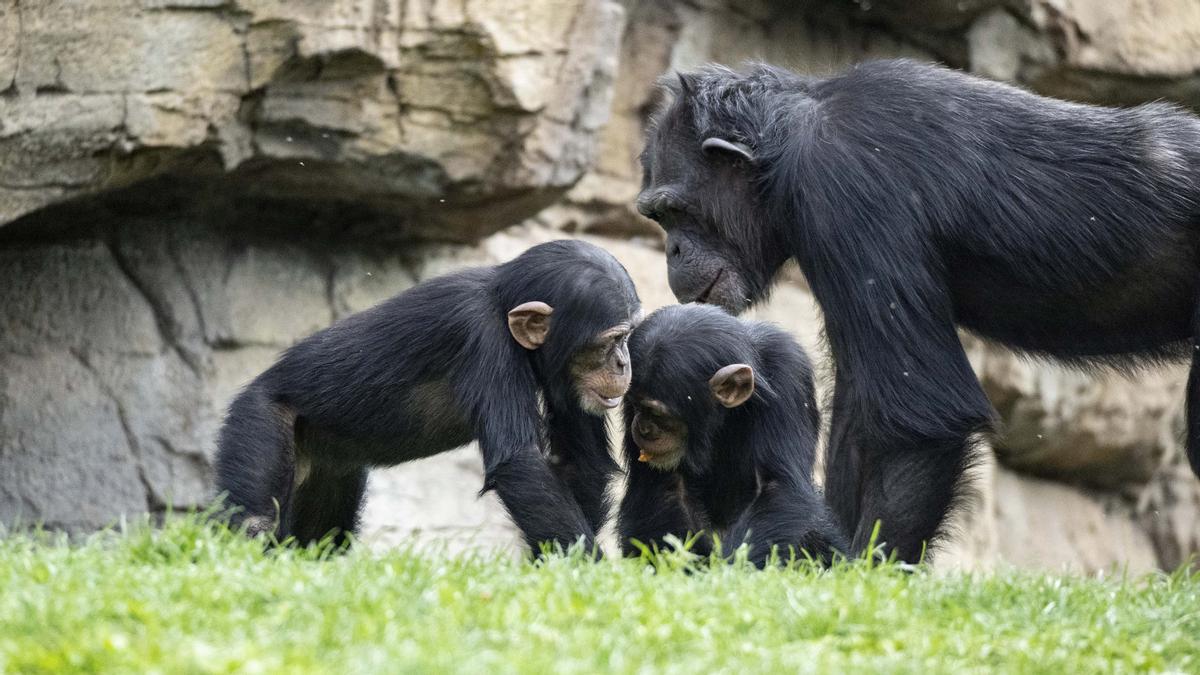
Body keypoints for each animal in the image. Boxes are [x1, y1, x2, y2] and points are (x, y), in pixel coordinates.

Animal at [211, 239, 643, 550]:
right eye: (610, 341)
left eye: (627, 337)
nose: (623, 362)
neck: (504, 309)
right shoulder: (483, 339)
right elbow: (520, 463)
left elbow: (580, 461)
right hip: (259, 417)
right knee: (253, 521)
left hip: (328, 467)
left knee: (320, 536)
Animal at [614, 303, 849, 562]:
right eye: (635, 404)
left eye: (657, 413)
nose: (643, 428)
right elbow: (668, 489)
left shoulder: (788, 370)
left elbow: (775, 486)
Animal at [643, 59, 1200, 562]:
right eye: (658, 216)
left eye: (672, 211)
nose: (672, 250)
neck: (788, 140)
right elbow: (860, 413)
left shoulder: (845, 189)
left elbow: (919, 416)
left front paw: (868, 572)